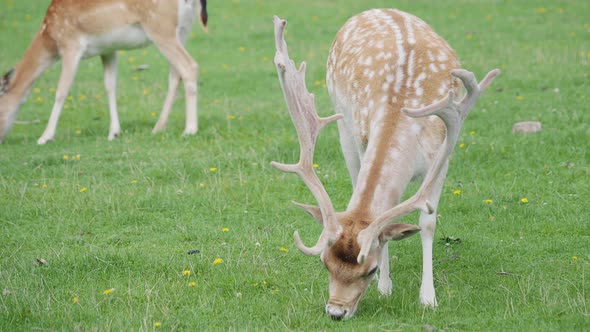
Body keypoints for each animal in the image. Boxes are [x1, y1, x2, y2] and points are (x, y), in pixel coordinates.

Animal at [0, 0, 210, 144]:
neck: (49, 37)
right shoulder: (108, 49)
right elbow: (110, 85)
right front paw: (114, 132)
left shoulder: (70, 44)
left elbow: (61, 90)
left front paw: (44, 137)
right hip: (183, 29)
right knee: (175, 74)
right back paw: (158, 127)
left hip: (160, 26)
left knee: (189, 66)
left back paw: (189, 129)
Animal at [272, 11, 500, 322]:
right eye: (324, 263)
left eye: (370, 269)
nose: (335, 311)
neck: (399, 109)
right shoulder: (363, 137)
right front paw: (385, 287)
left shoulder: (441, 156)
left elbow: (427, 222)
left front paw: (428, 298)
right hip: (344, 124)